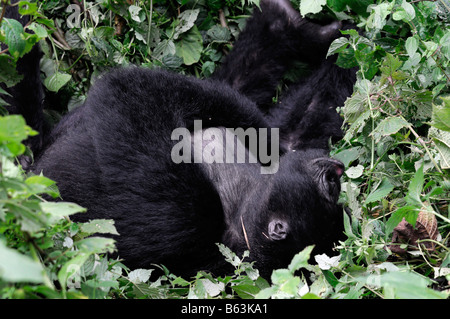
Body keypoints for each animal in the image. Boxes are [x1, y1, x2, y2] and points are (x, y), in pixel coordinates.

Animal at [3, 0, 356, 280]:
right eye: (332, 188)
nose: (335, 169)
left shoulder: (183, 216)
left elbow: (129, 92)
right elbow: (288, 125)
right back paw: (287, 25)